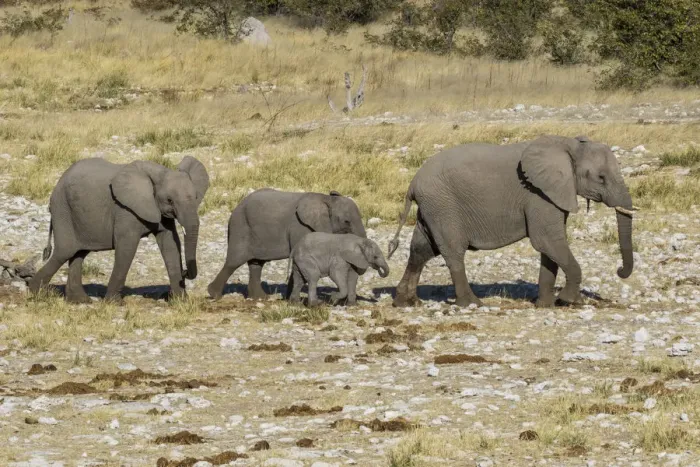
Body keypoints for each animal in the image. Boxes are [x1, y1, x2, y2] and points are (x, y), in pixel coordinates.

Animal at [28, 156, 209, 303]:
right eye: (170, 200)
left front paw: (180, 301)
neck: (159, 172)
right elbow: (127, 247)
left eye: (195, 197)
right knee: (64, 251)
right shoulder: (125, 210)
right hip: (62, 209)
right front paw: (113, 303)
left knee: (78, 253)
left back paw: (79, 301)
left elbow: (170, 244)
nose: (185, 272)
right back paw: (36, 293)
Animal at [207, 189, 366, 300]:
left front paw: (289, 299)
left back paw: (260, 298)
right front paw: (291, 300)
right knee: (234, 262)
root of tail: (236, 207)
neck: (326, 199)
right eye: (346, 221)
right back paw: (214, 295)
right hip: (240, 227)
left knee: (256, 264)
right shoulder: (300, 227)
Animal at [387, 135, 636, 308]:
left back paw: (406, 302)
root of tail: (412, 184)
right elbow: (546, 240)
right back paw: (472, 304)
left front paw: (545, 305)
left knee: (421, 249)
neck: (569, 144)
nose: (619, 270)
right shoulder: (538, 194)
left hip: (432, 207)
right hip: (443, 205)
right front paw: (570, 301)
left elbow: (550, 247)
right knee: (453, 251)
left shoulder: (552, 195)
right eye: (601, 178)